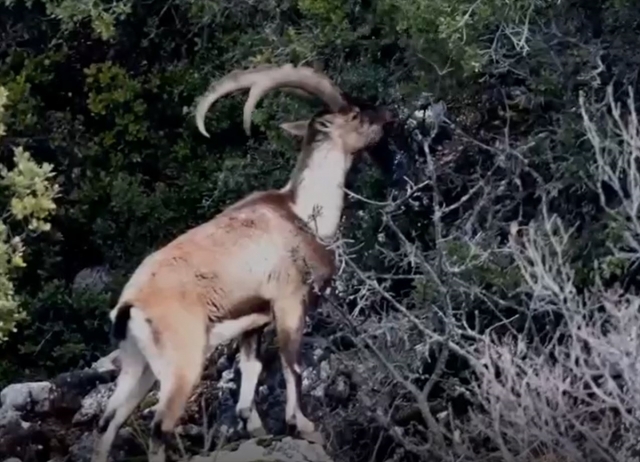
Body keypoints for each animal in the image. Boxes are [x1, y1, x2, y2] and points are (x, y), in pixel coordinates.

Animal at [92, 62, 396, 462]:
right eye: (357, 114)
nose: (389, 115)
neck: (302, 212)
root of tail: (129, 306)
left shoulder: (253, 323)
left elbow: (251, 370)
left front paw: (255, 428)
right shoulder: (289, 302)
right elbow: (292, 364)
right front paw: (302, 425)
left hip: (136, 366)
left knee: (108, 422)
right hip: (183, 364)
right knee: (159, 427)